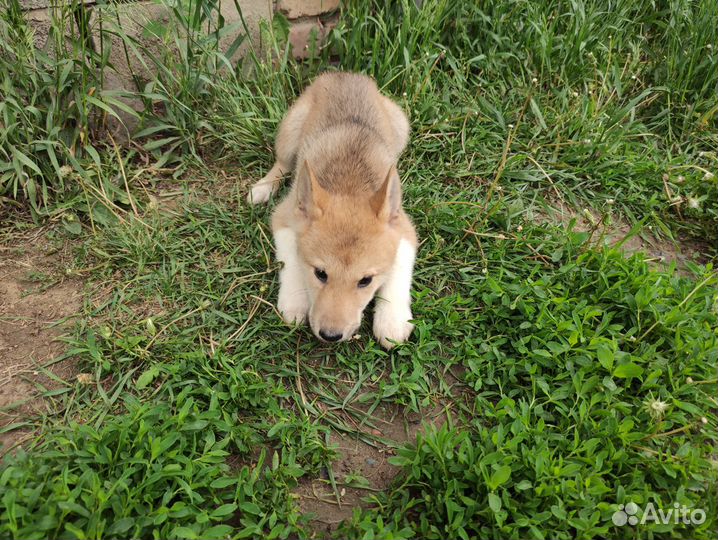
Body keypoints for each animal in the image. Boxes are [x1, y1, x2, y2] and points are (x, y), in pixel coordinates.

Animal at [248, 71, 416, 348]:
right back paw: (262, 188)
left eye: (365, 281)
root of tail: (345, 74)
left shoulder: (405, 229)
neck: (350, 184)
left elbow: (398, 275)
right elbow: (291, 262)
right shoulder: (284, 216)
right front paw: (294, 302)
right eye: (320, 273)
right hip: (290, 131)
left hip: (402, 127)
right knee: (282, 163)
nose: (330, 335)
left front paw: (392, 320)